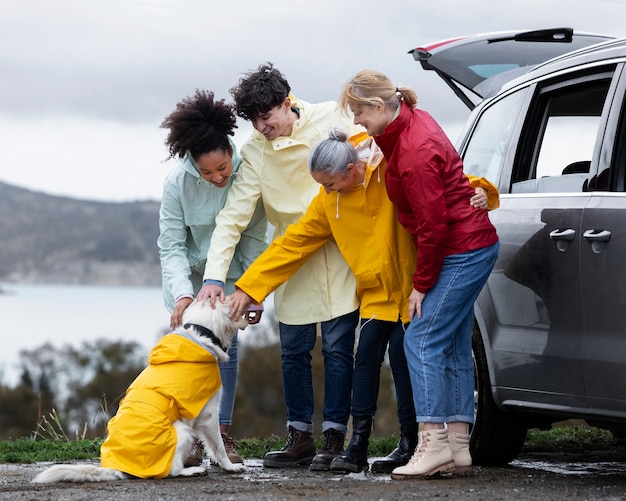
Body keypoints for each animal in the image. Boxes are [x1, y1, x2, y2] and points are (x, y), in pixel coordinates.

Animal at [32, 298, 246, 482]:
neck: (199, 335)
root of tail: (117, 469)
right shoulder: (209, 414)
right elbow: (218, 446)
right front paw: (230, 467)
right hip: (182, 429)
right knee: (172, 470)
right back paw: (192, 471)